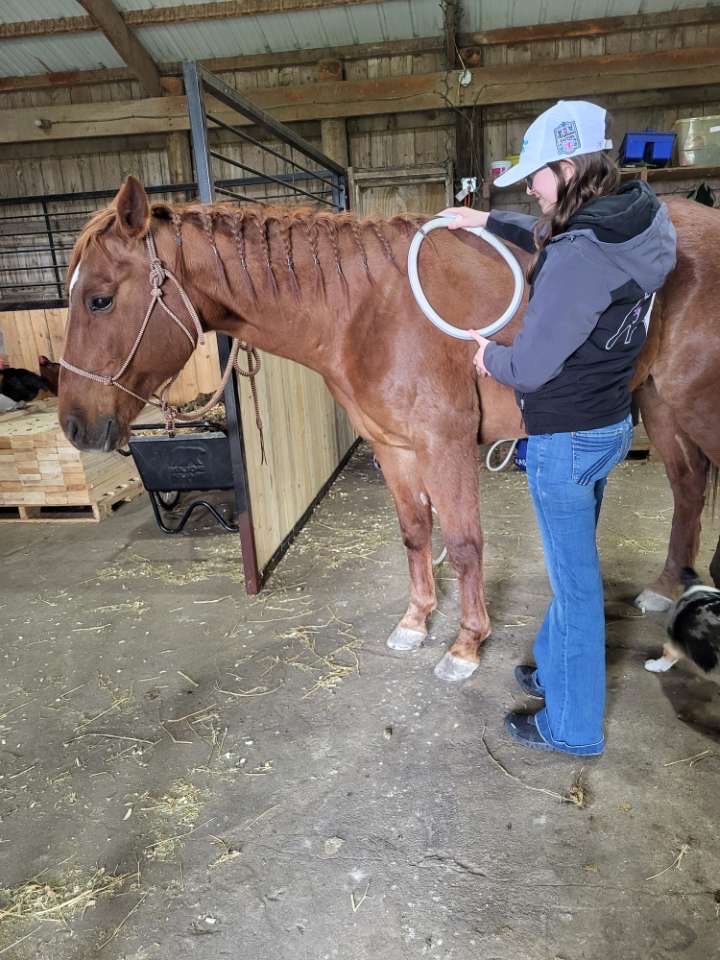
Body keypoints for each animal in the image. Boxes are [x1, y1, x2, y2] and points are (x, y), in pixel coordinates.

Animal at [57, 176, 720, 682]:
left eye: (99, 299)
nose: (74, 426)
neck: (364, 309)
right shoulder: (393, 447)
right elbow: (415, 534)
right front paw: (416, 621)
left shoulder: (445, 444)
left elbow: (465, 543)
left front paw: (466, 645)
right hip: (657, 402)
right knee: (688, 485)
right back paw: (666, 586)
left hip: (692, 404)